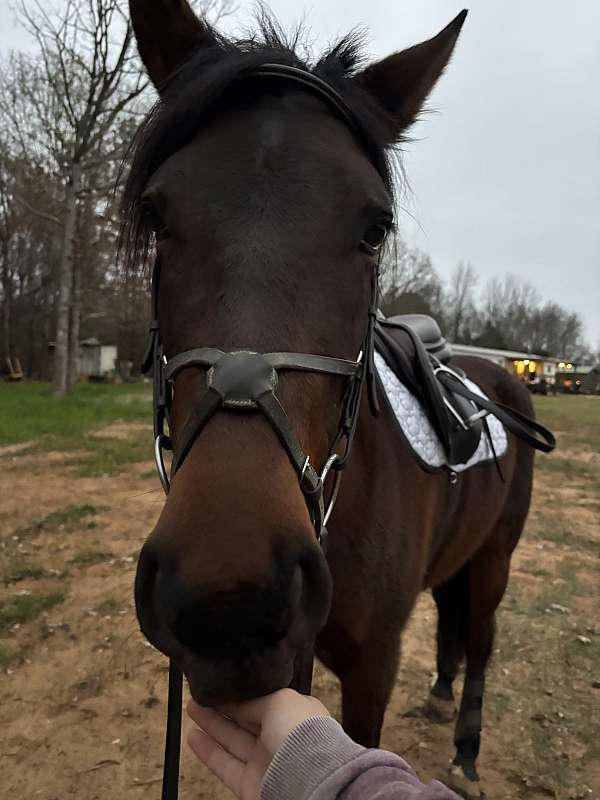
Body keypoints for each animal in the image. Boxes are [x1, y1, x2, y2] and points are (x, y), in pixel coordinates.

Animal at [122, 3, 539, 796]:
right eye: (156, 214)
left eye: (375, 229)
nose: (228, 599)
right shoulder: (295, 659)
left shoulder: (372, 665)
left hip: (496, 560)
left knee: (481, 640)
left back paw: (467, 744)